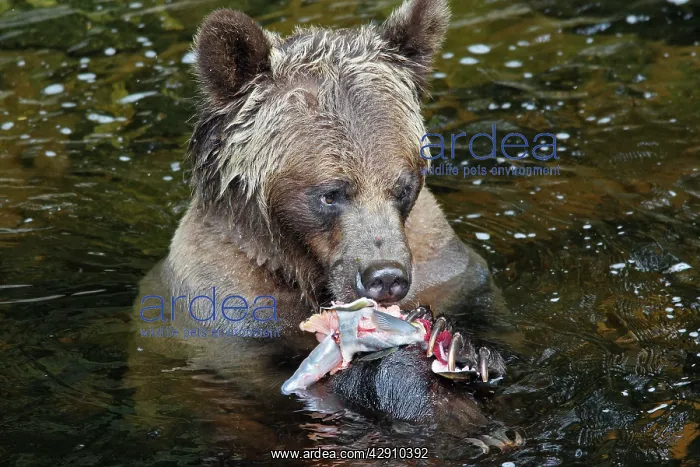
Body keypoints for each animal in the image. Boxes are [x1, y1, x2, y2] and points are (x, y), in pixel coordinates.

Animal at [130, 0, 515, 454]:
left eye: (402, 186)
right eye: (331, 193)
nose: (385, 277)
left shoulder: (440, 261)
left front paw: (463, 347)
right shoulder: (225, 307)